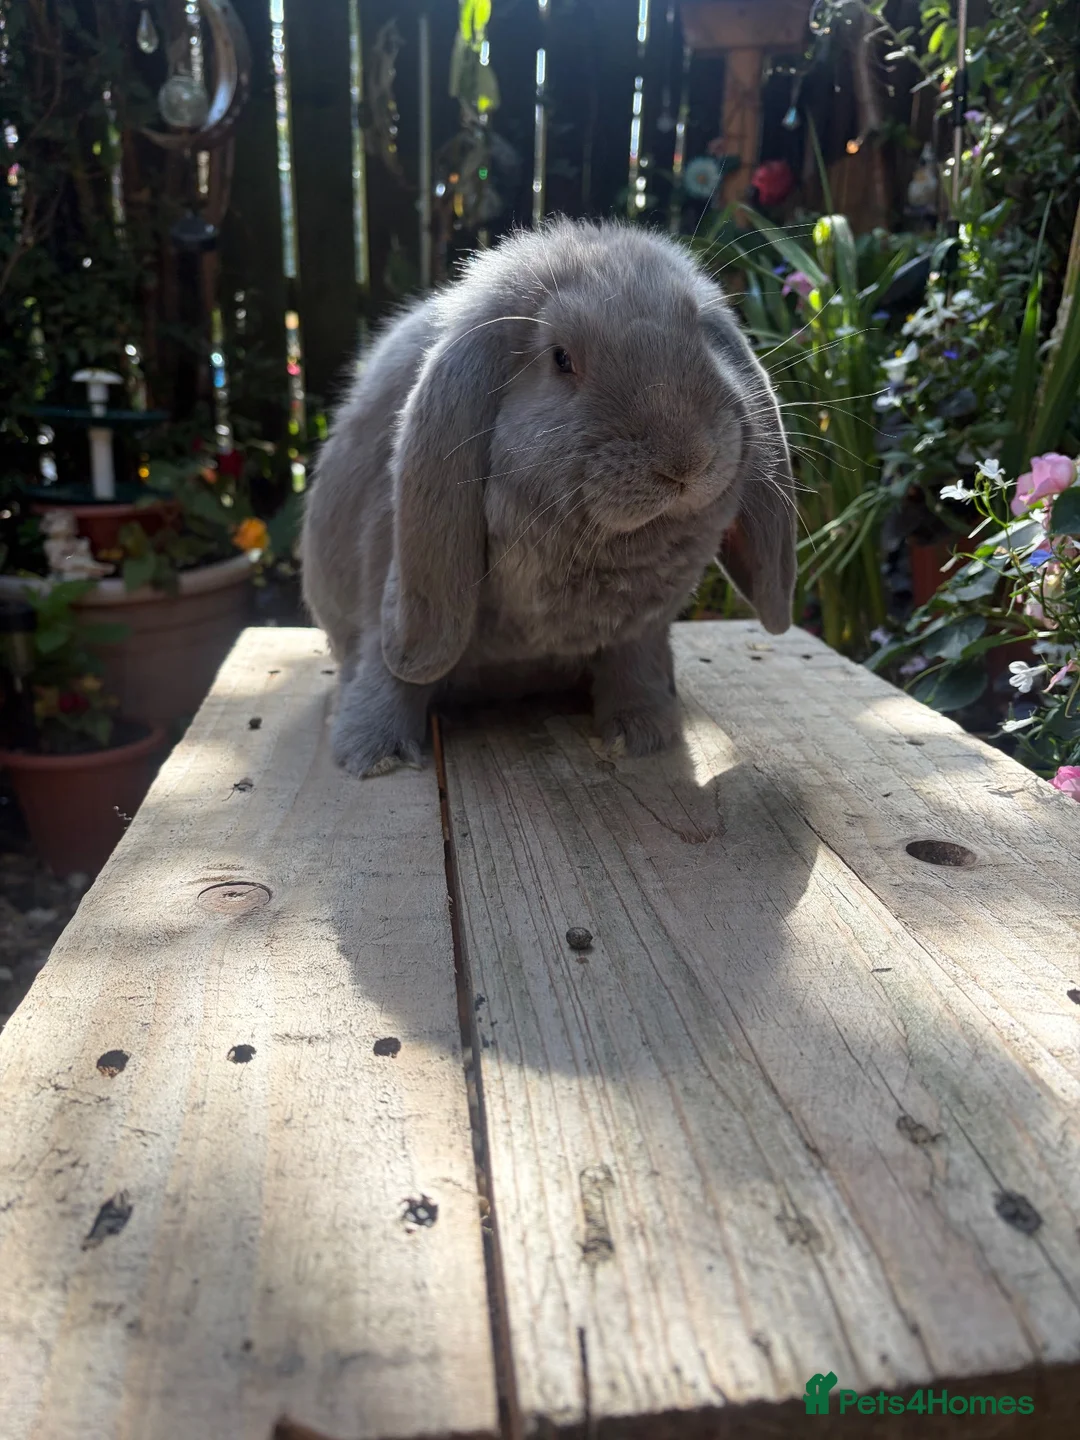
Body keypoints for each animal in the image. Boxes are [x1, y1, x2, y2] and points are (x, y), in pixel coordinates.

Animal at [300, 218, 795, 777]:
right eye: (561, 358)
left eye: (700, 332)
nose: (686, 460)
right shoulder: (394, 593)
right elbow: (396, 674)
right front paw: (373, 752)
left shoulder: (637, 633)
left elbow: (635, 667)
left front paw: (643, 732)